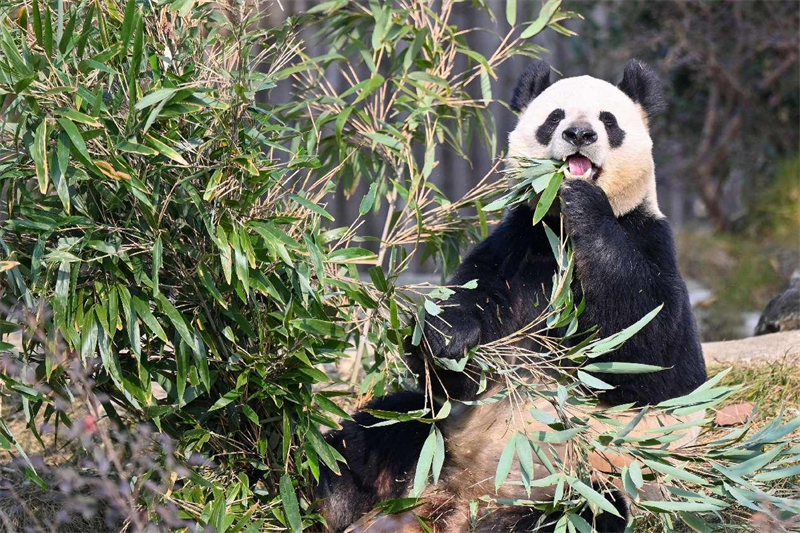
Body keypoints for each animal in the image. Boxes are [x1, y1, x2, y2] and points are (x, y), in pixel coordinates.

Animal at [316, 59, 708, 532]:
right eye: (554, 118)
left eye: (608, 121)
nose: (580, 134)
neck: (560, 231)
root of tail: (459, 499)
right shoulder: (517, 247)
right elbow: (460, 349)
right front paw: (448, 338)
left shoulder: (648, 238)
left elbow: (653, 352)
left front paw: (585, 203)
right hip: (435, 438)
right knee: (370, 436)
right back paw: (334, 500)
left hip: (584, 482)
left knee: (590, 511)